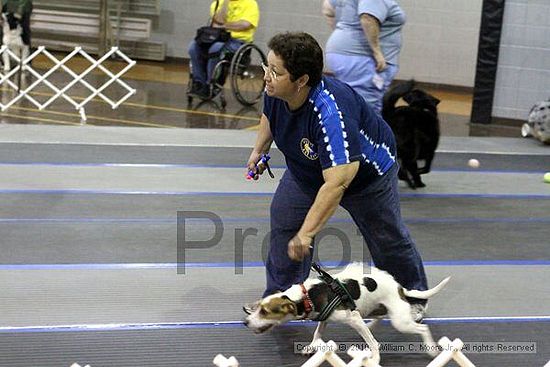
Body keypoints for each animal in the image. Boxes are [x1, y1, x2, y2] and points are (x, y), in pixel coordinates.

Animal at [246, 264, 452, 366]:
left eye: (264, 312)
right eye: (258, 307)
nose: (246, 321)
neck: (306, 297)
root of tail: (399, 287)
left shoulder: (351, 318)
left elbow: (373, 343)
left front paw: (375, 359)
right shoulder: (325, 319)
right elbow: (317, 334)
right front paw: (312, 346)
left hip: (400, 321)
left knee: (422, 328)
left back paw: (431, 349)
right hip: (377, 308)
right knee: (378, 317)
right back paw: (370, 325)